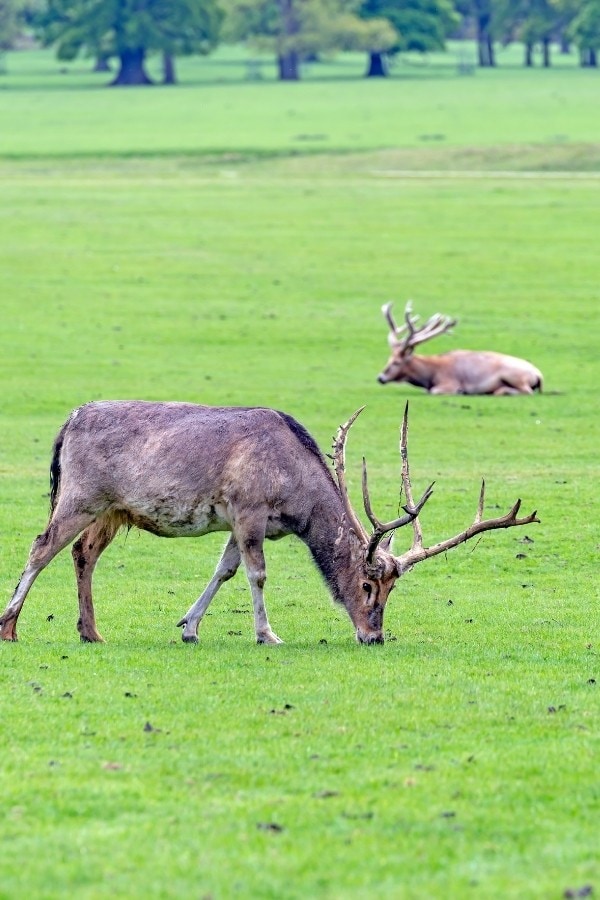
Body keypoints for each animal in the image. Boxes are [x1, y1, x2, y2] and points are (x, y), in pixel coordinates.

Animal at [1, 402, 540, 648]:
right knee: (40, 545)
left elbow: (224, 570)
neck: (294, 498)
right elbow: (256, 574)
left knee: (81, 553)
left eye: (392, 590)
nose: (373, 636)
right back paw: (10, 626)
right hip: (79, 495)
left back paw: (91, 631)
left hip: (112, 510)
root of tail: (67, 424)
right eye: (368, 585)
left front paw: (188, 627)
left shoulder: (239, 522)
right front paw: (267, 634)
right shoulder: (248, 508)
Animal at [380, 302, 544, 394]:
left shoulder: (449, 383)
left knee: (527, 391)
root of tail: (538, 374)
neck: (430, 374)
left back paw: (502, 391)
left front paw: (461, 391)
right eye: (388, 359)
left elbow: (434, 391)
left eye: (396, 362)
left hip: (514, 375)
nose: (380, 377)